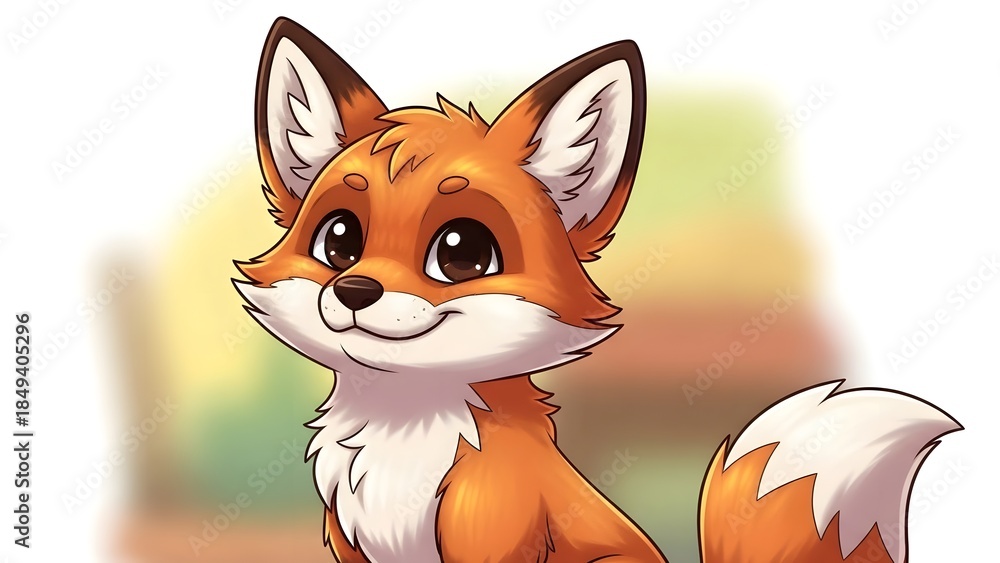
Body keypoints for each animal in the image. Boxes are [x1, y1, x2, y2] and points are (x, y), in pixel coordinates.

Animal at [234, 17, 962, 563]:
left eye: (461, 252)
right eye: (338, 241)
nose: (354, 289)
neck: (402, 443)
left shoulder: (493, 537)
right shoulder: (353, 545)